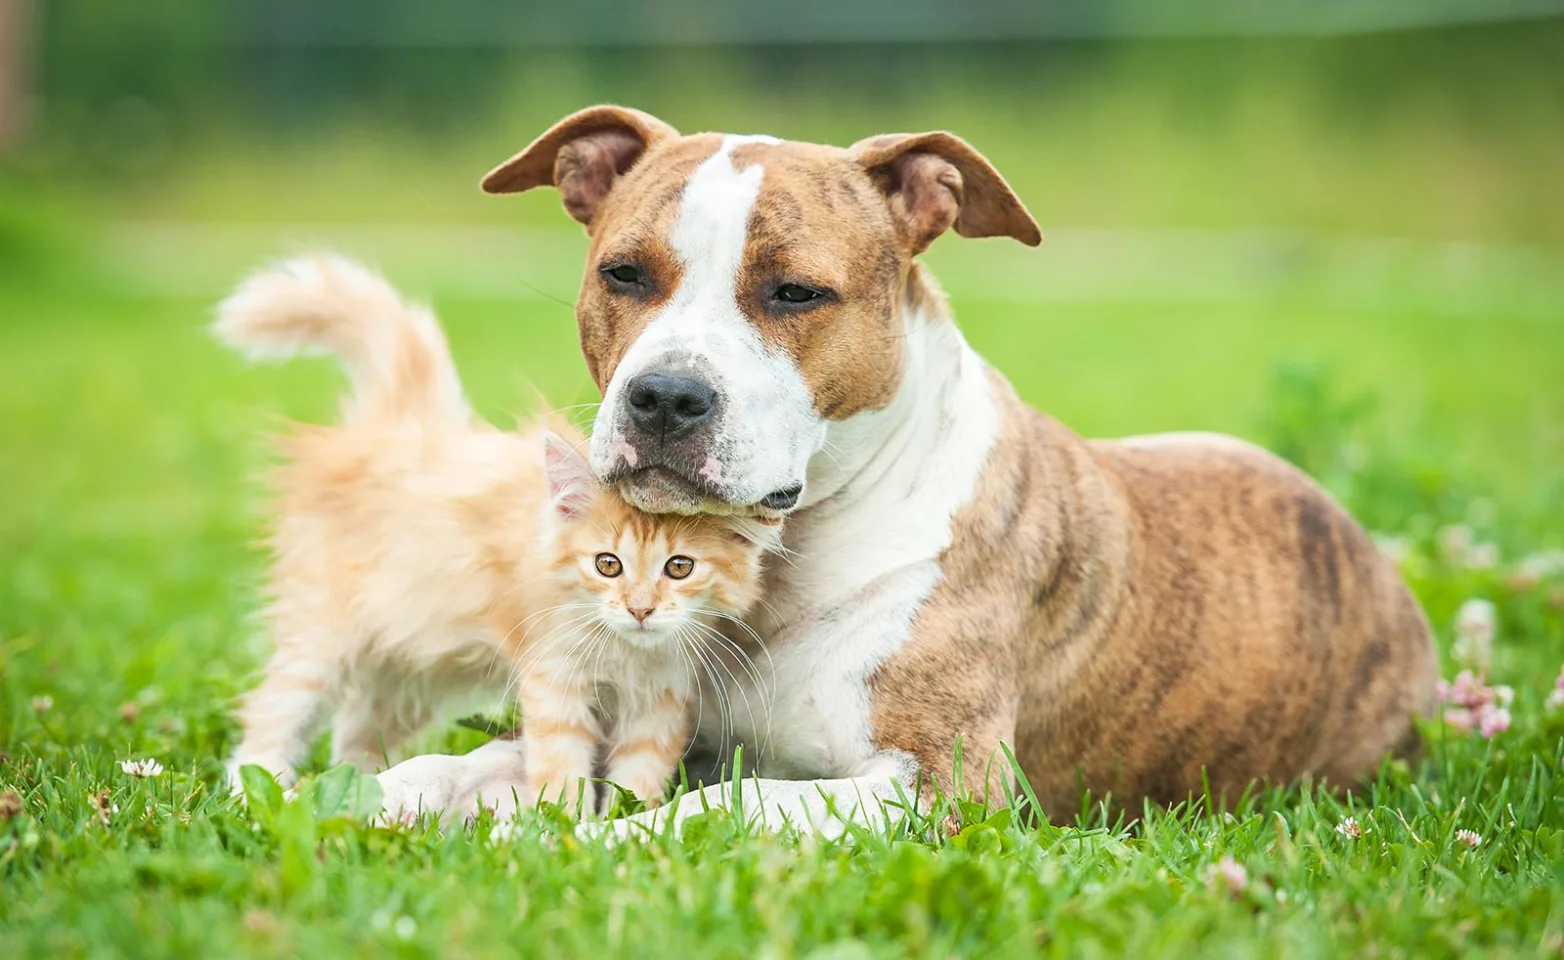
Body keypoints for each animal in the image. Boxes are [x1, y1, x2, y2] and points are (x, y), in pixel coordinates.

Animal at [214, 257, 775, 813]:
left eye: (679, 568)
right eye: (607, 564)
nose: (640, 609)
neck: (625, 651)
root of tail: (399, 425)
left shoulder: (660, 700)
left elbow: (637, 779)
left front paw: (625, 821)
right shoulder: (553, 679)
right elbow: (562, 768)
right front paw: (566, 824)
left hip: (405, 663)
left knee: (356, 732)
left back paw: (362, 789)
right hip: (323, 635)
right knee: (273, 713)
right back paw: (254, 792)